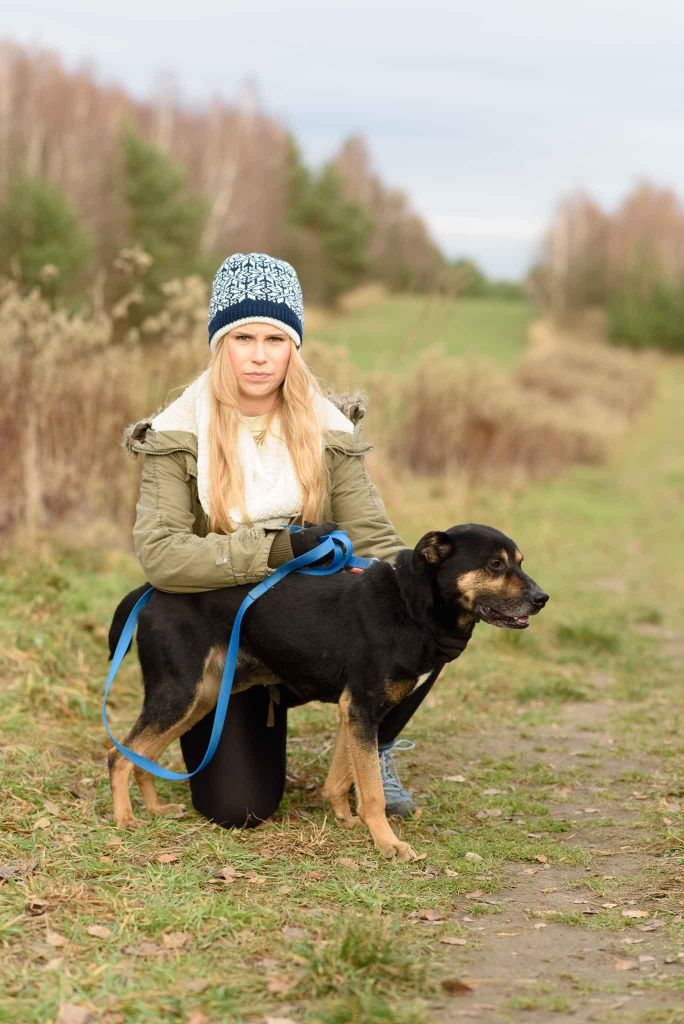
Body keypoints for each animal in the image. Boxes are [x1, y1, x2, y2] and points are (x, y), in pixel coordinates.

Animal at [108, 524, 548, 860]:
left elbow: (342, 777)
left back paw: (155, 809)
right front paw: (388, 844)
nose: (542, 598)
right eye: (495, 565)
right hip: (180, 691)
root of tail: (149, 590)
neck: (410, 606)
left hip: (201, 698)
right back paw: (125, 819)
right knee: (119, 755)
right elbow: (372, 794)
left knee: (142, 755)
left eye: (519, 562)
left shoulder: (354, 711)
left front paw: (347, 820)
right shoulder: (362, 707)